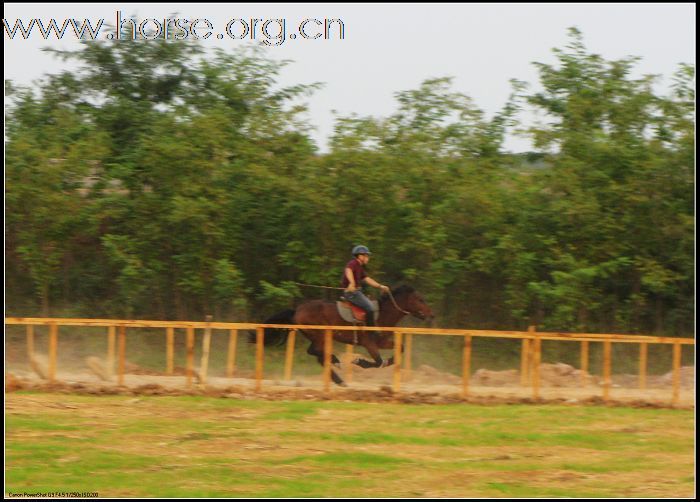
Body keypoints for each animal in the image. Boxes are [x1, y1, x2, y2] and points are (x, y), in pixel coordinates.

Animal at [254, 284, 432, 386]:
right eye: (420, 299)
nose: (431, 315)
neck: (381, 314)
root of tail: (297, 310)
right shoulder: (369, 343)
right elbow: (378, 361)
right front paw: (360, 361)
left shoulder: (382, 342)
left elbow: (399, 350)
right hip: (320, 335)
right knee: (318, 354)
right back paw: (336, 365)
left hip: (318, 337)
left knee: (317, 355)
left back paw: (338, 377)